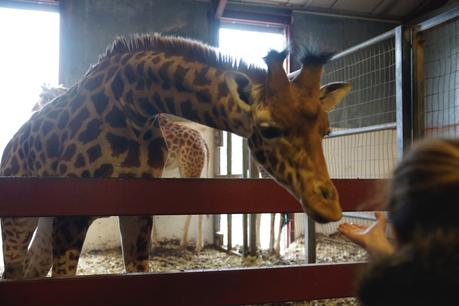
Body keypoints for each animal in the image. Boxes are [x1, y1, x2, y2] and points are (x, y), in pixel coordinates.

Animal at [0, 32, 352, 278]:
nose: (329, 206)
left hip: (46, 220)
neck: (135, 107)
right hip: (18, 219)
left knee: (31, 269)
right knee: (14, 272)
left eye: (326, 131)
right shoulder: (72, 214)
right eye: (268, 129)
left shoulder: (137, 209)